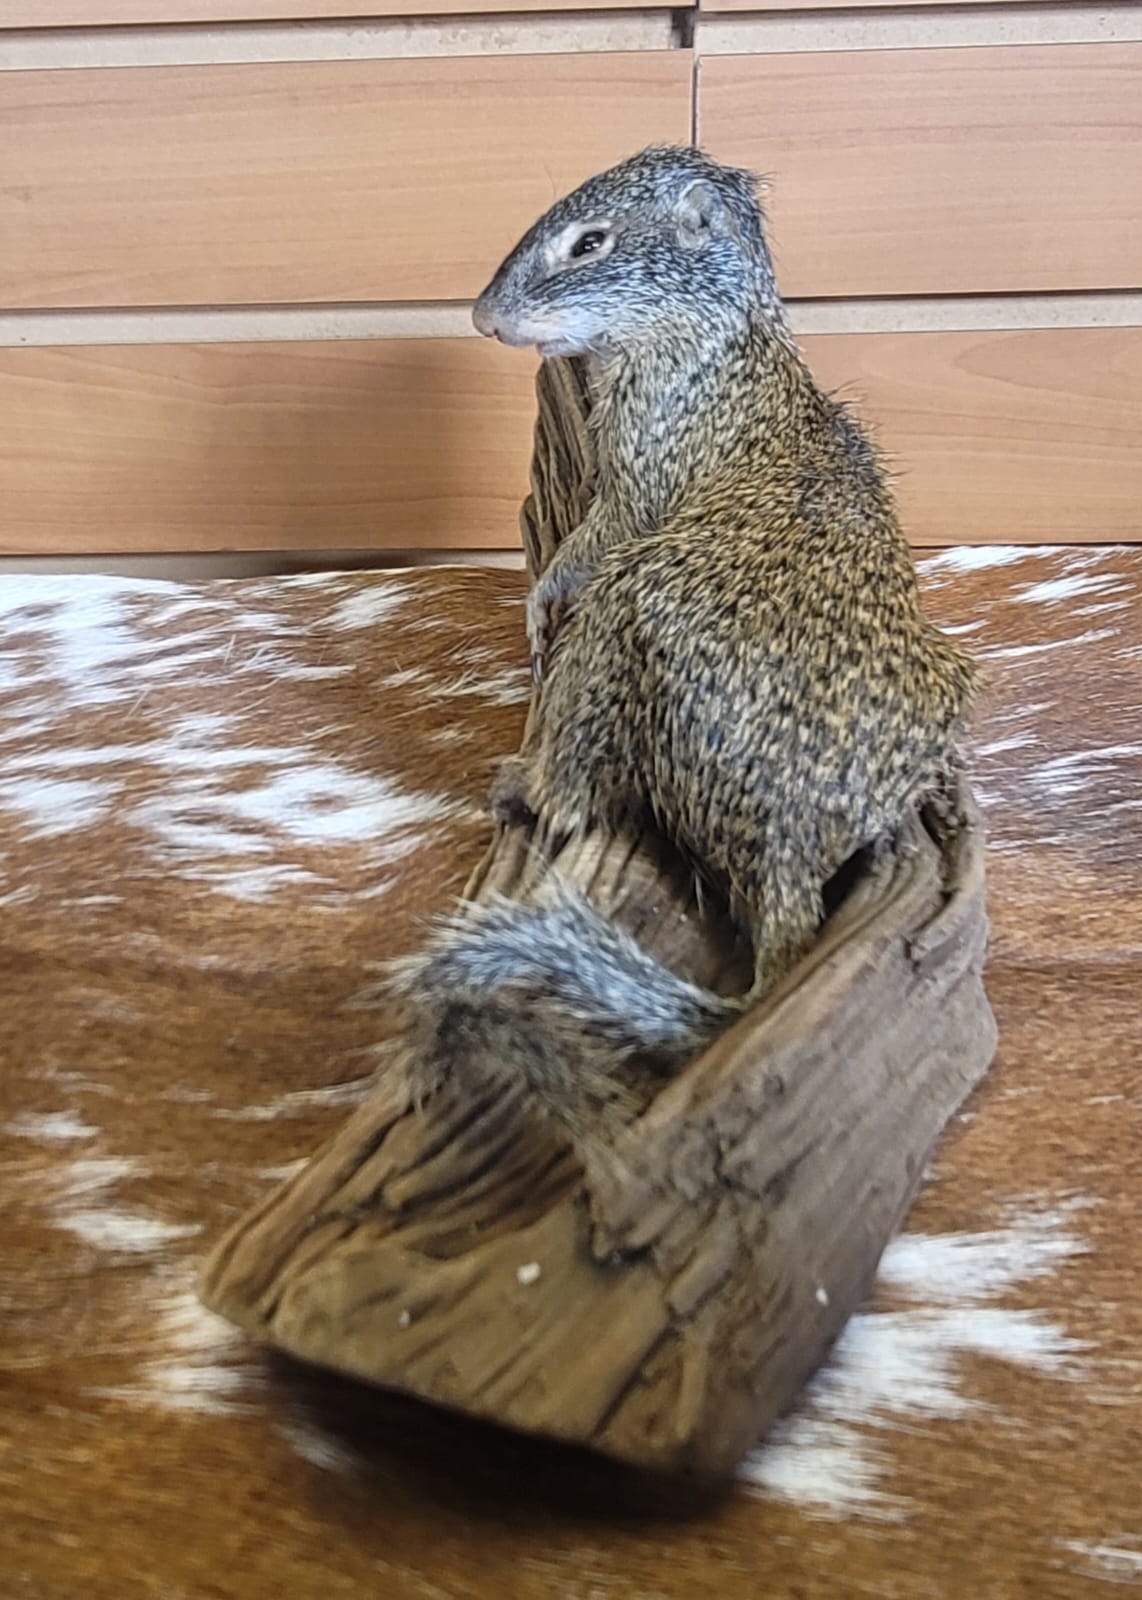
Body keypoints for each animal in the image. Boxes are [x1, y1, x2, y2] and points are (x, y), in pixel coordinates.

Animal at [391, 145, 978, 1128]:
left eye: (590, 243)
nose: (481, 318)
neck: (711, 338)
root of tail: (791, 845)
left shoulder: (638, 475)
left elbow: (596, 540)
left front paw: (541, 596)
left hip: (627, 611)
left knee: (577, 797)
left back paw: (527, 784)